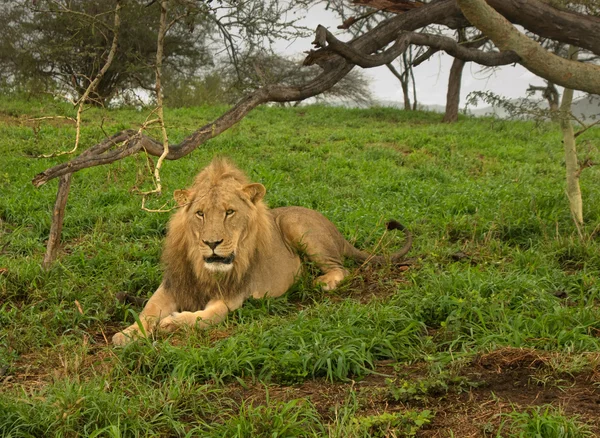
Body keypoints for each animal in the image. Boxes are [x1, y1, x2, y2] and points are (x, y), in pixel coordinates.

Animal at [111, 158, 412, 346]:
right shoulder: (173, 284)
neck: (204, 269)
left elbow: (208, 316)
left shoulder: (233, 294)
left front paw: (172, 324)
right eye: (200, 214)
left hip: (297, 225)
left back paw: (323, 282)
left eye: (229, 212)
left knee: (342, 268)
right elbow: (148, 310)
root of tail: (335, 229)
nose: (212, 243)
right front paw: (127, 335)